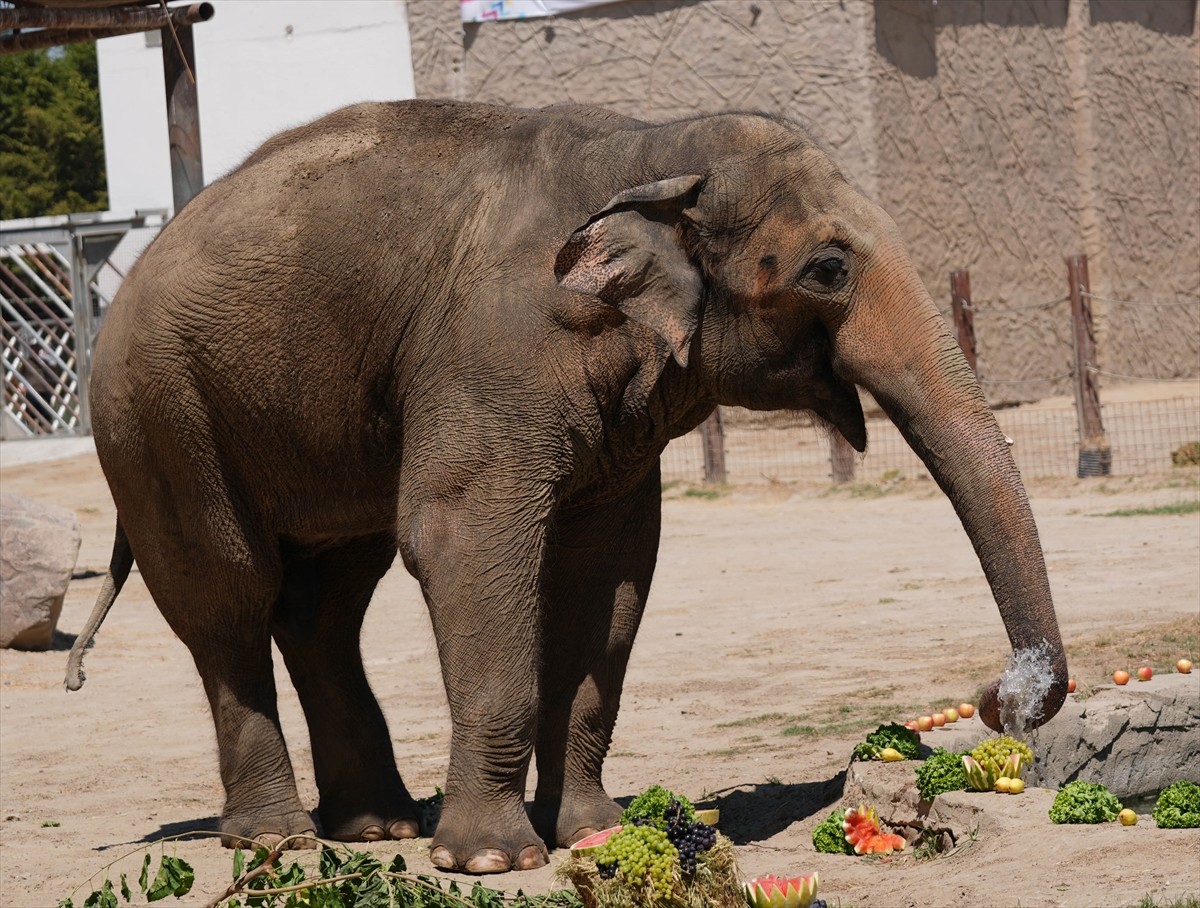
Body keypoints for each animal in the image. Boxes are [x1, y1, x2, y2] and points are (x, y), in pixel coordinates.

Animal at [63, 97, 1070, 873]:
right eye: (828, 269)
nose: (1002, 700)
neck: (653, 151)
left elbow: (609, 573)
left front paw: (595, 834)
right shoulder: (497, 349)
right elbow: (461, 539)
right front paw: (491, 861)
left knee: (326, 601)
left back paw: (376, 828)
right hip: (160, 414)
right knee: (227, 596)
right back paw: (276, 843)